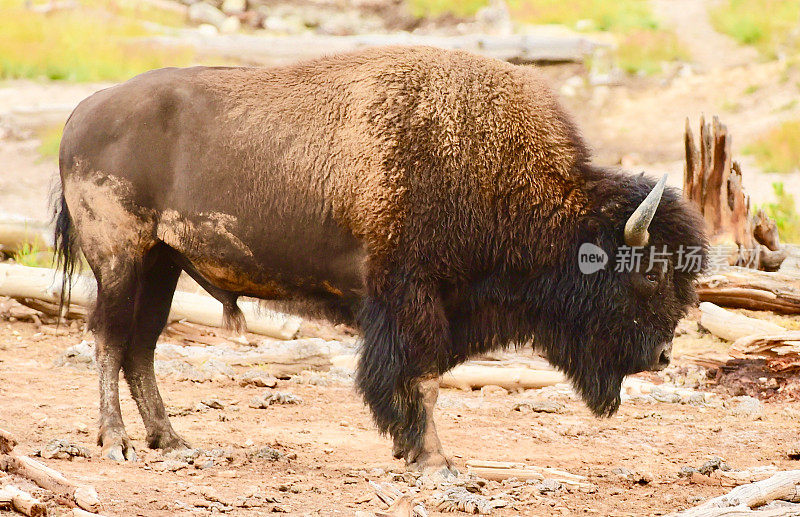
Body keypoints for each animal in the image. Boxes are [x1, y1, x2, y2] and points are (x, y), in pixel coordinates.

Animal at [54, 46, 708, 474]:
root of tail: (83, 112)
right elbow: (422, 378)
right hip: (122, 259)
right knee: (110, 339)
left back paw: (171, 440)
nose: (663, 355)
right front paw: (434, 460)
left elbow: (418, 379)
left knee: (141, 346)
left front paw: (410, 449)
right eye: (650, 273)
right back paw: (116, 443)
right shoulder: (411, 299)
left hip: (162, 263)